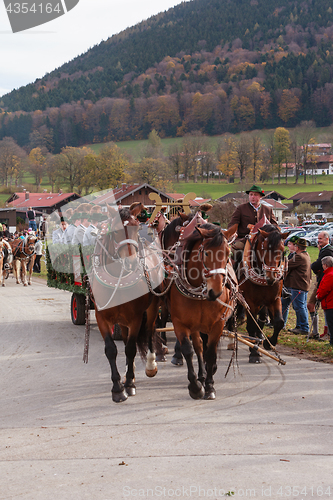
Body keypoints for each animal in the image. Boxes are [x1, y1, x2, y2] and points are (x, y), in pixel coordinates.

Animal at [90, 202, 163, 402]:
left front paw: (129, 384)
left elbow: (130, 349)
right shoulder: (101, 317)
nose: (131, 263)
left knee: (150, 330)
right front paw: (117, 387)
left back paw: (150, 365)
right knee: (123, 337)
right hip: (121, 320)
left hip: (152, 308)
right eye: (115, 231)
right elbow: (111, 349)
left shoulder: (136, 317)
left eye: (136, 227)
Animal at [165, 222, 236, 398]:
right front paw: (195, 386)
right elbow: (189, 350)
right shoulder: (180, 323)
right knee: (198, 346)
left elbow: (210, 353)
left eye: (228, 253)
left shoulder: (218, 324)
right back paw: (201, 375)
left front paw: (209, 386)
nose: (215, 292)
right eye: (206, 252)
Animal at [237, 223, 290, 360]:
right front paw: (254, 352)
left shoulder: (274, 299)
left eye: (282, 250)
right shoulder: (250, 302)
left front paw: (268, 342)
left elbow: (279, 322)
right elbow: (252, 324)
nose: (271, 277)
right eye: (264, 249)